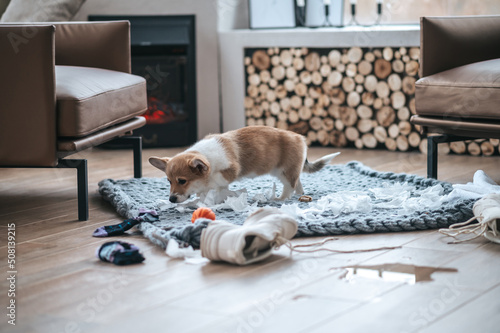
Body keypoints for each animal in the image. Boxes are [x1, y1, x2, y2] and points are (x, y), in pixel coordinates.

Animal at [148, 124, 340, 202]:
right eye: (168, 181)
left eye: (182, 181)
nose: (171, 200)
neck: (206, 155)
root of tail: (300, 138)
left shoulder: (229, 170)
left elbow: (216, 181)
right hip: (287, 171)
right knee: (298, 183)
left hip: (285, 171)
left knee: (290, 186)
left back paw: (280, 198)